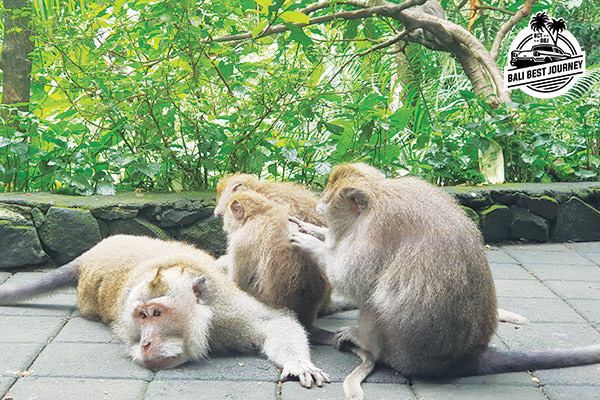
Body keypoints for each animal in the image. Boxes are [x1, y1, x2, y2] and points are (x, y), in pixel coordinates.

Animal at [0, 234, 330, 388]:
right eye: (142, 316)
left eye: (157, 314)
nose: (146, 342)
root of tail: (90, 254)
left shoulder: (227, 311)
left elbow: (274, 321)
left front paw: (299, 364)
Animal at [288, 163, 596, 400]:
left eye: (328, 210)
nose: (325, 222)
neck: (379, 193)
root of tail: (464, 358)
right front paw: (313, 230)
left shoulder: (375, 229)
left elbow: (354, 280)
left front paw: (312, 244)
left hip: (398, 350)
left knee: (378, 298)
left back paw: (363, 340)